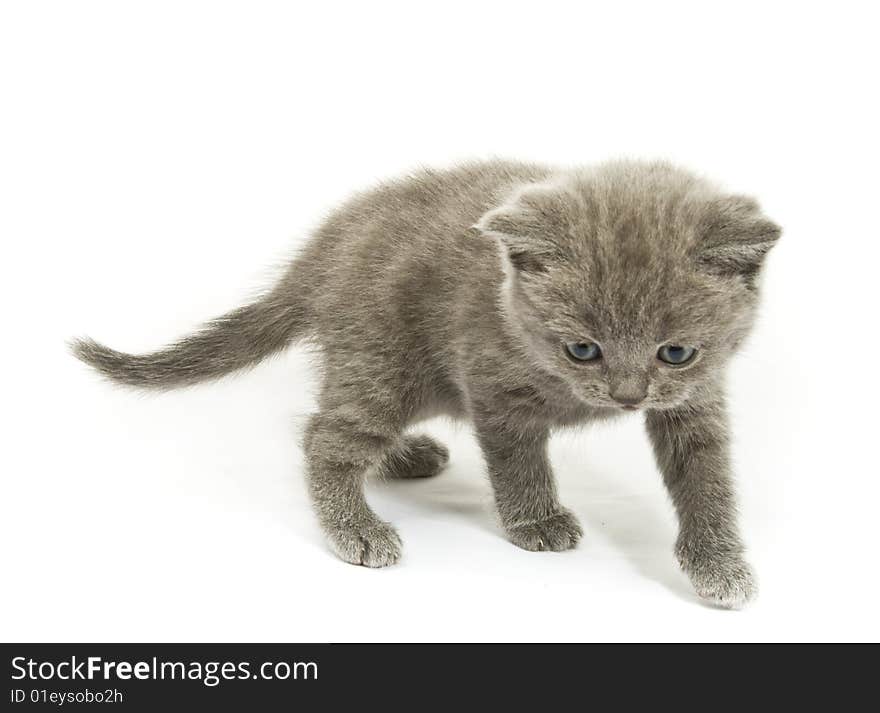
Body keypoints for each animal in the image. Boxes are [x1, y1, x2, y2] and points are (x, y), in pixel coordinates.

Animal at [72, 160, 780, 608]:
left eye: (676, 352)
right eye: (583, 349)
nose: (629, 397)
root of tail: (320, 256)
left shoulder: (697, 399)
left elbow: (707, 479)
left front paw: (720, 564)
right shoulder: (493, 386)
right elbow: (518, 462)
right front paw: (537, 519)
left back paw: (406, 456)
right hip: (385, 362)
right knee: (326, 436)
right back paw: (357, 527)